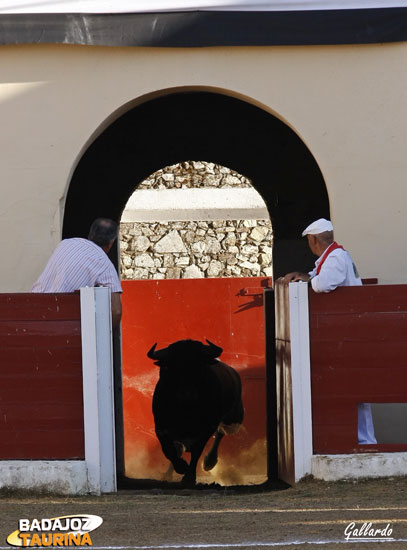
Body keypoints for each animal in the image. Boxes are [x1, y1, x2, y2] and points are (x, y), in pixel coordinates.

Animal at [150, 338, 245, 486]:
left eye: (200, 364)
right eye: (173, 366)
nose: (187, 394)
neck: (187, 408)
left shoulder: (206, 429)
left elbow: (196, 452)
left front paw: (189, 477)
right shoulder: (160, 427)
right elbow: (169, 450)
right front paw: (181, 467)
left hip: (234, 420)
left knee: (221, 432)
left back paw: (209, 462)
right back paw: (169, 473)